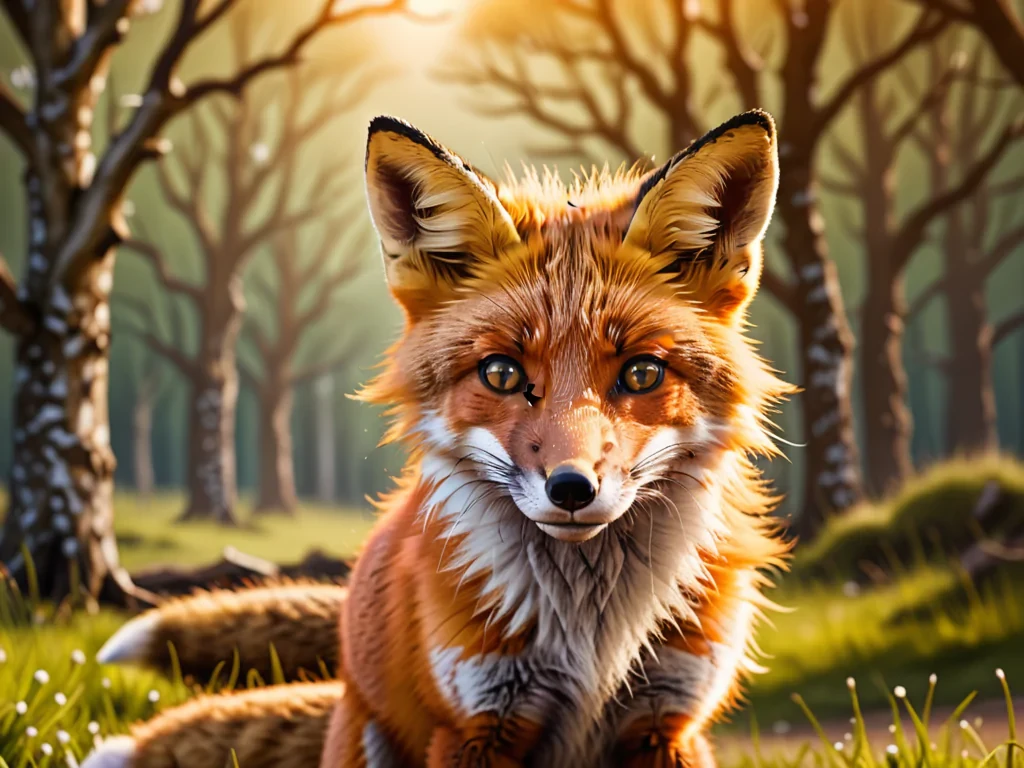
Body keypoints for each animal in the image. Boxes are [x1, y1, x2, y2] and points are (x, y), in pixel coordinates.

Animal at [85, 108, 792, 768]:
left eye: (642, 373)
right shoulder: (476, 721)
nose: (570, 489)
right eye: (502, 374)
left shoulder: (667, 720)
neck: (590, 638)